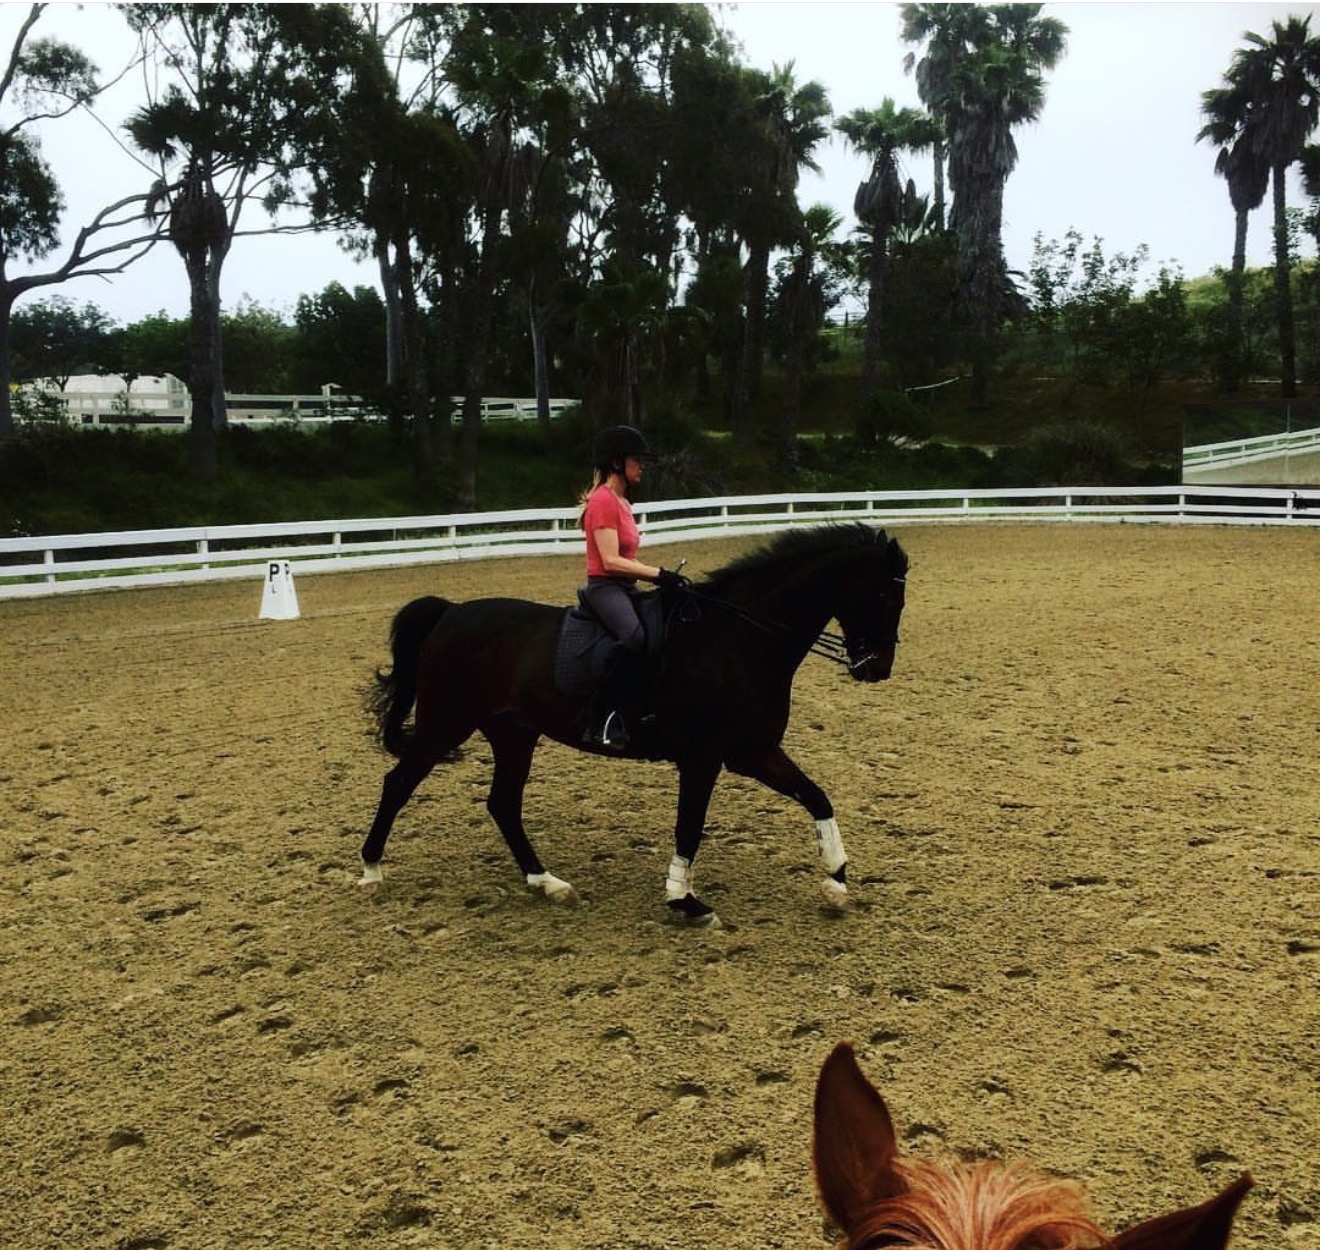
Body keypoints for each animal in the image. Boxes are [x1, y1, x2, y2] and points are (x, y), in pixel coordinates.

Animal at [358, 522, 909, 926]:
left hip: (514, 733)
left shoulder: (751, 751)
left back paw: (547, 883)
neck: (737, 639)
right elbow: (690, 825)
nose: (877, 668)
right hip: (446, 725)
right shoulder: (704, 757)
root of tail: (450, 613)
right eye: (885, 596)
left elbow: (816, 796)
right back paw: (370, 872)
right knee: (398, 784)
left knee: (503, 804)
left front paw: (836, 881)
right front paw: (685, 901)